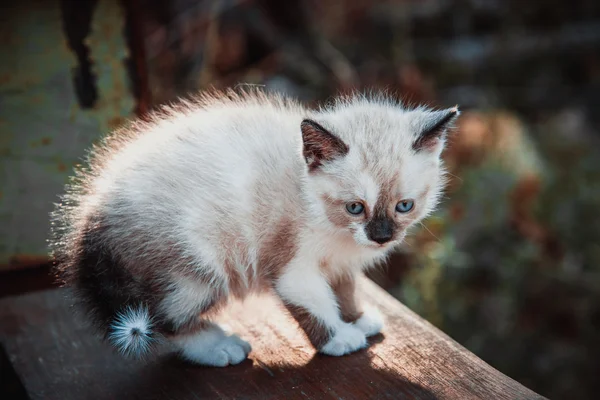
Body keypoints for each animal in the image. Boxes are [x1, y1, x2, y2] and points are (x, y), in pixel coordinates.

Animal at [49, 89, 460, 368]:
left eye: (404, 205)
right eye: (355, 208)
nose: (381, 237)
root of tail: (86, 231)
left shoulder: (340, 261)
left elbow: (345, 289)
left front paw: (358, 318)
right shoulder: (292, 267)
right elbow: (314, 304)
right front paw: (340, 338)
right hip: (196, 270)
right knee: (167, 320)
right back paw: (218, 347)